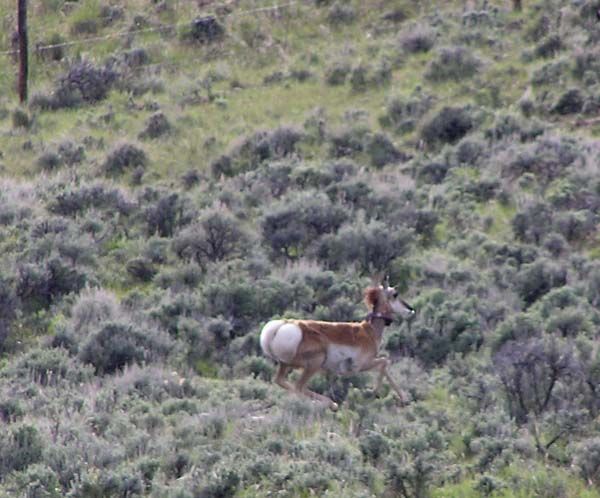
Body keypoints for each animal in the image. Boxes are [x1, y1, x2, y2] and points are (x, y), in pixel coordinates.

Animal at [260, 282, 414, 410]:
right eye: (395, 294)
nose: (410, 309)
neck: (368, 330)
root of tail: (282, 325)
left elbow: (384, 363)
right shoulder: (361, 365)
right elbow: (384, 362)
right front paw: (375, 393)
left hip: (286, 364)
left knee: (281, 381)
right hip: (313, 364)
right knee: (299, 387)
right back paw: (329, 404)